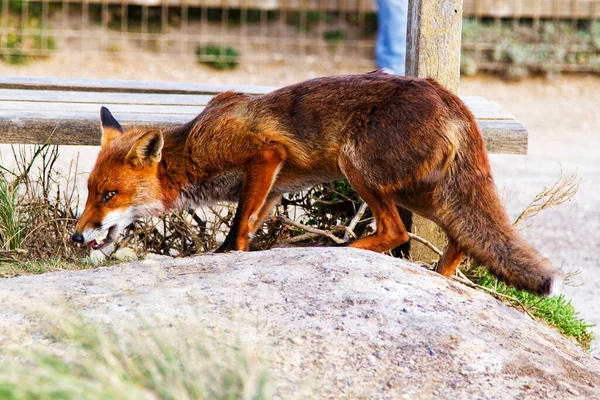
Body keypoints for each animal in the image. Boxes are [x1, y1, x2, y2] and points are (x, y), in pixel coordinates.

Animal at [71, 71, 564, 296]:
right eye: (90, 192)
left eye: (110, 195)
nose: (77, 236)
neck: (193, 146)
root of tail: (448, 95)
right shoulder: (269, 188)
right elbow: (247, 225)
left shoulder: (265, 155)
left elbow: (238, 228)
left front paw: (226, 255)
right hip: (419, 192)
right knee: (460, 236)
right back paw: (439, 276)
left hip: (358, 167)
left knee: (395, 231)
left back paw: (343, 249)